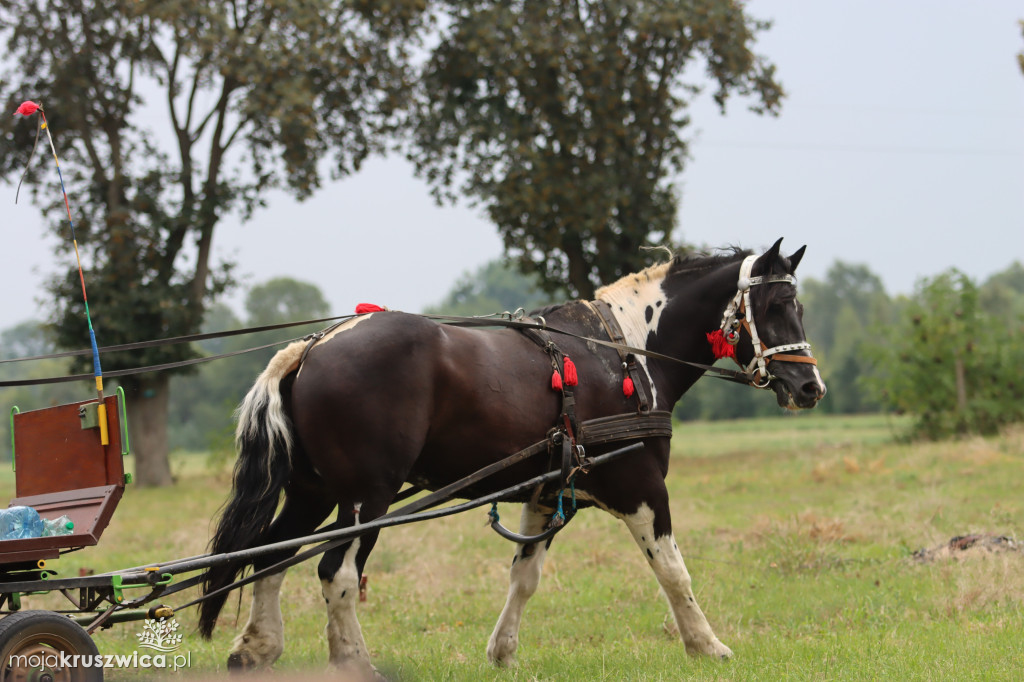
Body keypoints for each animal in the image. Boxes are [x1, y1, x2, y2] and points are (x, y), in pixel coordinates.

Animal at [197, 236, 823, 671]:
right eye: (775, 304)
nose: (810, 387)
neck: (623, 352)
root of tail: (313, 347)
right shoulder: (640, 486)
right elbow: (673, 571)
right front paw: (706, 645)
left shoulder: (548, 494)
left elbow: (525, 576)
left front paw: (502, 652)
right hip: (364, 498)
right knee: (337, 573)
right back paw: (352, 662)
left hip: (314, 491)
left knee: (272, 554)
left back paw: (257, 647)